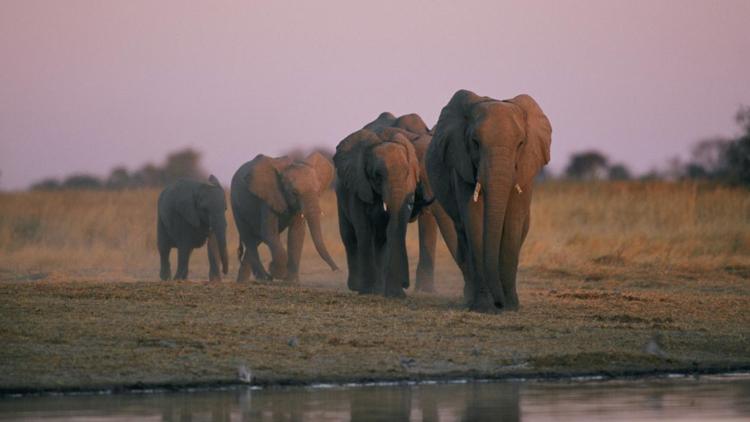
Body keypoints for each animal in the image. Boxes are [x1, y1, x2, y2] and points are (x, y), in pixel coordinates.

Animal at [231, 152, 340, 284]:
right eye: (294, 193)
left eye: (317, 190)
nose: (336, 270)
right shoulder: (268, 198)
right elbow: (269, 232)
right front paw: (278, 273)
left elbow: (296, 234)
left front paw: (292, 282)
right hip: (236, 206)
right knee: (249, 238)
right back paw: (265, 279)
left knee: (256, 239)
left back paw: (246, 281)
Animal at [336, 129, 434, 296]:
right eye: (378, 175)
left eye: (407, 172)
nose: (405, 284)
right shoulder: (358, 187)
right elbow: (364, 230)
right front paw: (367, 291)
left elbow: (394, 229)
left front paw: (395, 294)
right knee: (349, 237)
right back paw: (357, 287)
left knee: (381, 240)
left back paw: (379, 289)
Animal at [426, 89, 556, 314]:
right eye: (475, 142)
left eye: (520, 144)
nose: (499, 303)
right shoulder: (461, 165)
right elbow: (474, 218)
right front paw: (484, 307)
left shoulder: (525, 168)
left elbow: (513, 222)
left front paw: (511, 306)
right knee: (462, 233)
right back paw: (469, 299)